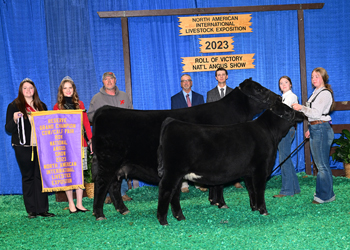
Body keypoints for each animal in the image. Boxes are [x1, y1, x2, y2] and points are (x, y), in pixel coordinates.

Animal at [91, 77, 282, 219]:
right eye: (258, 89)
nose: (279, 98)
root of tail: (105, 110)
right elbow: (219, 184)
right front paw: (221, 203)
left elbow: (216, 184)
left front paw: (213, 201)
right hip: (109, 161)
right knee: (102, 184)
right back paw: (99, 214)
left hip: (119, 165)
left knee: (113, 186)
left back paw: (123, 210)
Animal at [157, 101, 304, 225]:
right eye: (287, 111)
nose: (301, 113)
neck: (269, 133)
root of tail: (172, 122)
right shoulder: (261, 169)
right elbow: (259, 189)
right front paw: (263, 211)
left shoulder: (249, 172)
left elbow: (251, 189)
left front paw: (254, 208)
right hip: (173, 171)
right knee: (166, 190)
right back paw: (163, 220)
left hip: (177, 174)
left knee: (175, 193)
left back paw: (179, 217)